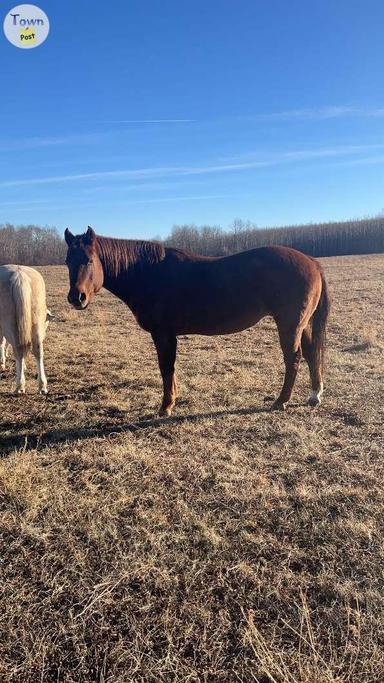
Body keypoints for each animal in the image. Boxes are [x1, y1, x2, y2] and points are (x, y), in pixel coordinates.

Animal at [0, 268, 50, 396]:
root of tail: (19, 275)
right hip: (36, 321)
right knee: (38, 350)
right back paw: (42, 386)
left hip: (9, 322)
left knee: (18, 349)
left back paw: (19, 385)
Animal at [64, 227, 328, 414]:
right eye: (68, 261)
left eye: (89, 260)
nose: (76, 298)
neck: (148, 273)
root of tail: (313, 262)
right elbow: (169, 368)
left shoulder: (163, 334)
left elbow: (166, 367)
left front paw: (165, 407)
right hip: (300, 325)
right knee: (311, 352)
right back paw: (314, 395)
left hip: (289, 325)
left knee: (293, 358)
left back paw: (281, 401)